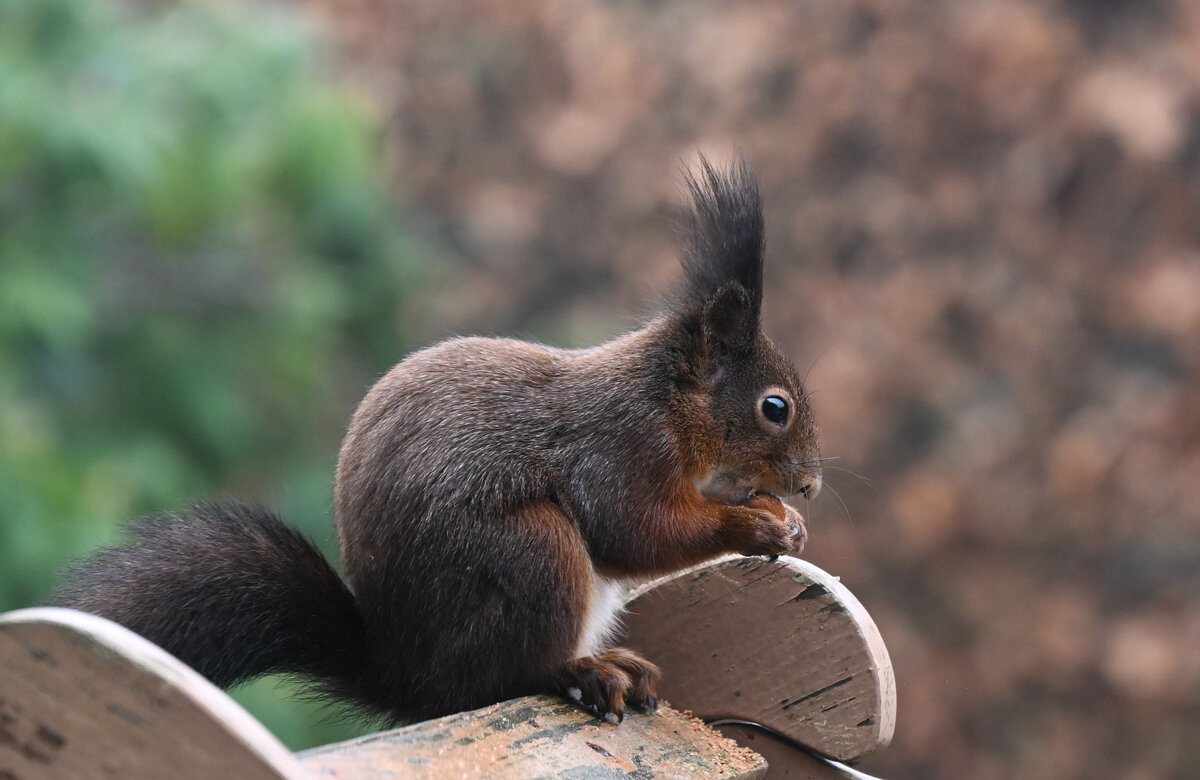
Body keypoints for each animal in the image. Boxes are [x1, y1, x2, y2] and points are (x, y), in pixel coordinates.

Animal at [53, 154, 822, 726]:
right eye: (774, 407)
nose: (812, 483)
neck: (668, 403)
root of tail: (407, 681)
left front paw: (788, 519)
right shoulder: (619, 448)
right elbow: (634, 533)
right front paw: (755, 525)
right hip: (532, 553)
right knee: (508, 677)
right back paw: (583, 671)